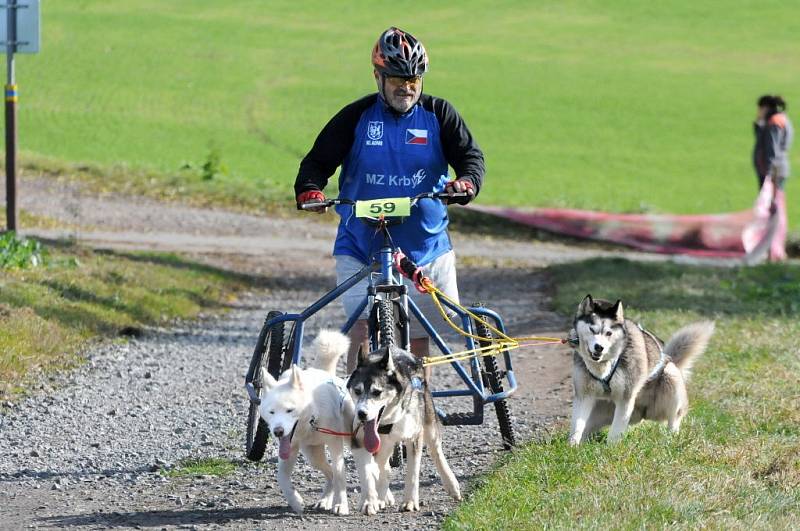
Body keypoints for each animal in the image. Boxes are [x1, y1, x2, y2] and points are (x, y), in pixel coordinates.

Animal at [260, 330, 356, 516]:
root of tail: (324, 372)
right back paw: (324, 500)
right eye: (271, 412)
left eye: (290, 410)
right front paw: (295, 502)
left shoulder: (335, 443)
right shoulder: (289, 447)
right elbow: (281, 477)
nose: (278, 431)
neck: (312, 416)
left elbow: (340, 473)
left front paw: (341, 505)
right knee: (329, 473)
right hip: (313, 455)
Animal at [568, 296, 712, 444]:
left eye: (609, 333)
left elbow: (615, 432)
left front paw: (612, 448)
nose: (599, 347)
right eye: (592, 329)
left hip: (670, 376)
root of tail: (644, 413)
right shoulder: (584, 395)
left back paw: (671, 438)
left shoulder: (626, 397)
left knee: (675, 418)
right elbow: (577, 425)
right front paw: (572, 446)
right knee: (588, 428)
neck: (603, 365)